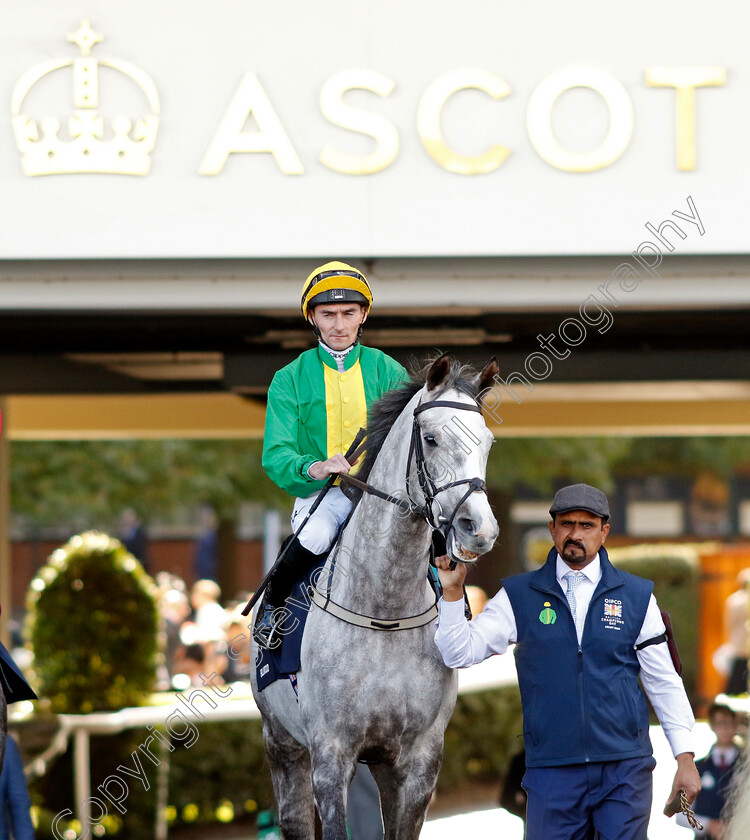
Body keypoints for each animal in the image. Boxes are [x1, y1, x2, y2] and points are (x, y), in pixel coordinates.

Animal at [251, 354, 500, 840]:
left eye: (487, 441)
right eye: (431, 438)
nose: (478, 529)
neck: (384, 610)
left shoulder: (419, 759)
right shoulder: (331, 755)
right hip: (282, 743)